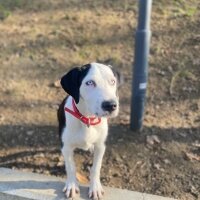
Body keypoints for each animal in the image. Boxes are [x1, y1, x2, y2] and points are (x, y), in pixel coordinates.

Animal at [57, 62, 121, 198]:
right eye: (90, 82)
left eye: (112, 81)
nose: (111, 105)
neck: (87, 119)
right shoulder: (66, 147)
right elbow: (71, 166)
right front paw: (71, 185)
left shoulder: (101, 146)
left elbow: (96, 167)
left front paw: (95, 188)